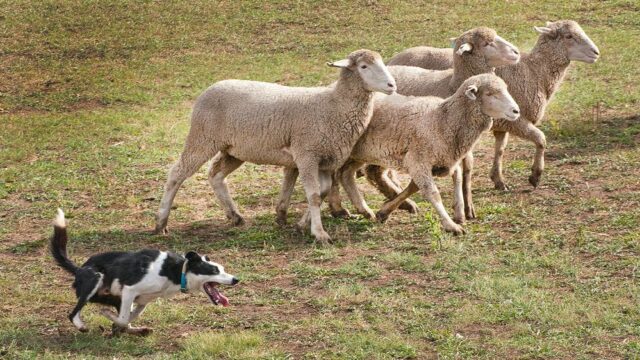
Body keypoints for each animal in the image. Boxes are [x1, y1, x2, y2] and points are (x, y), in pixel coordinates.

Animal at [50, 210, 239, 336]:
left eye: (223, 269)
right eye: (214, 270)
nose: (236, 279)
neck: (176, 270)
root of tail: (79, 269)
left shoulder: (142, 301)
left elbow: (130, 317)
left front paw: (118, 324)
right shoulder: (129, 290)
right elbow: (123, 318)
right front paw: (107, 315)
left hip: (114, 297)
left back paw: (135, 330)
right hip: (95, 280)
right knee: (73, 313)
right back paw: (82, 326)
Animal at [154, 48, 396, 245]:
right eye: (364, 66)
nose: (392, 85)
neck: (333, 104)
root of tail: (212, 86)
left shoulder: (326, 159)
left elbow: (323, 191)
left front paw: (301, 224)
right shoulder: (306, 154)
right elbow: (314, 195)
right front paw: (319, 234)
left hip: (234, 149)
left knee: (216, 175)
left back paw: (235, 216)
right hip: (202, 138)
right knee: (176, 174)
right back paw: (160, 223)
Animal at [340, 74, 520, 233]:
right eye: (489, 93)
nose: (516, 111)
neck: (443, 119)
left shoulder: (446, 158)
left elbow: (446, 180)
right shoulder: (418, 160)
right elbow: (432, 193)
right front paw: (451, 225)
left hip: (360, 154)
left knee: (346, 174)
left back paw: (363, 209)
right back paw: (342, 210)